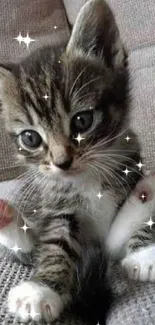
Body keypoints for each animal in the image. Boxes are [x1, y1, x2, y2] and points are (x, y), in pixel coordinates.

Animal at [0, 0, 141, 322]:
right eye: (30, 138)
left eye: (82, 121)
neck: (87, 180)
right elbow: (55, 242)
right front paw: (39, 290)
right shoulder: (58, 208)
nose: (62, 162)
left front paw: (144, 252)